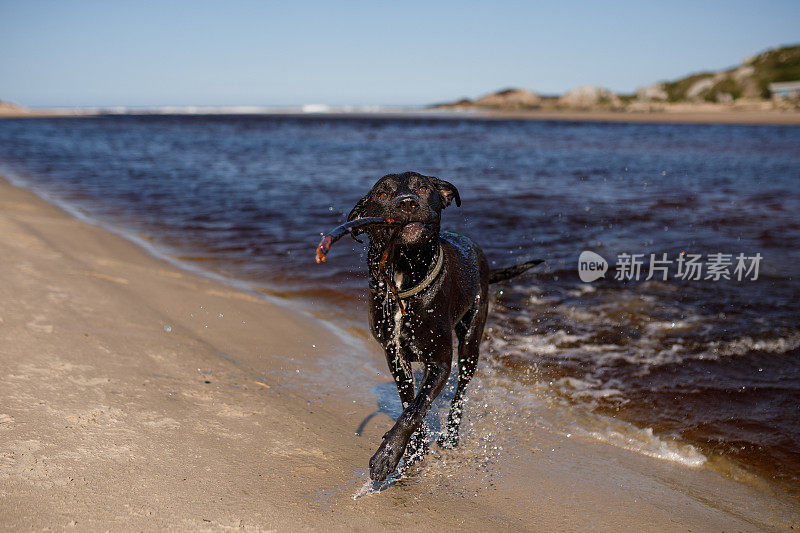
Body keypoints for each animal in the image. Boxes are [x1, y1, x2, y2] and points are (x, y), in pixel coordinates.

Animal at [346, 171, 540, 482]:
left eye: (424, 188)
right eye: (382, 194)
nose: (407, 203)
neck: (403, 277)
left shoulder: (440, 362)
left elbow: (415, 409)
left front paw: (387, 455)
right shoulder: (395, 356)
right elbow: (410, 402)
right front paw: (414, 449)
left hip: (471, 340)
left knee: (461, 389)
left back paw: (451, 435)